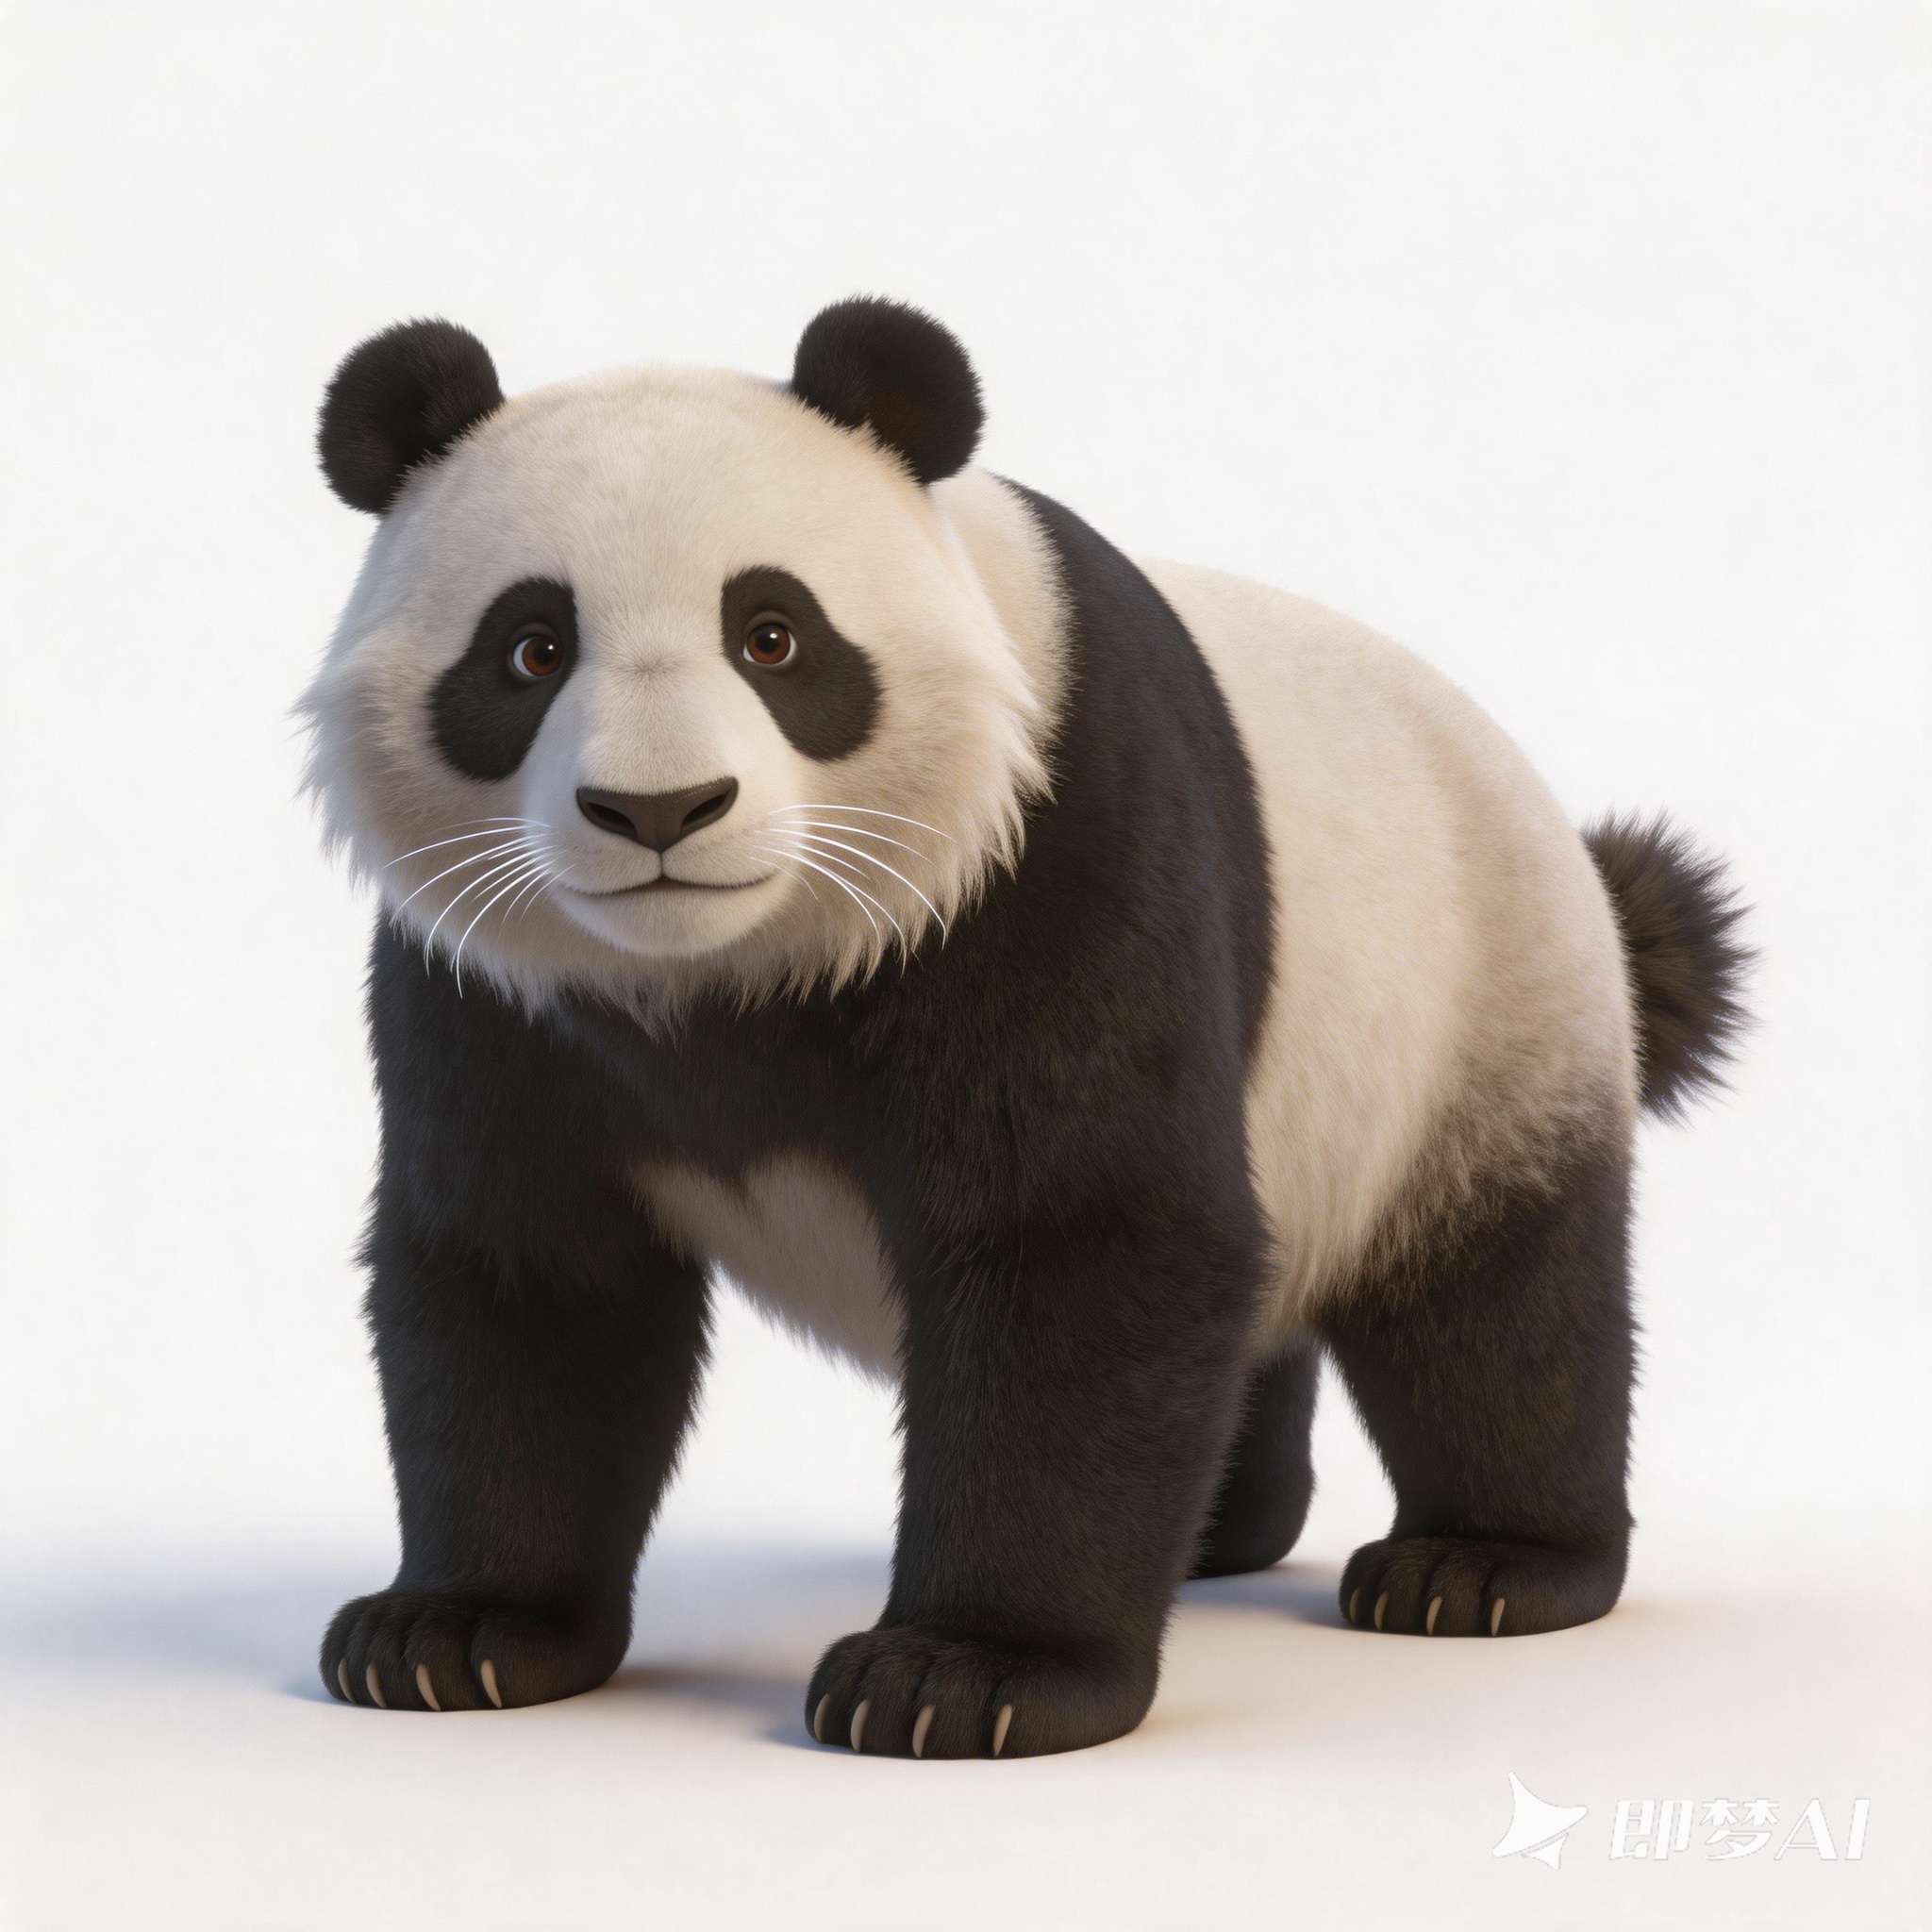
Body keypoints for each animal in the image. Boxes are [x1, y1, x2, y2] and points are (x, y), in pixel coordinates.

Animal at [302, 298, 1748, 1757]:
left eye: (773, 636)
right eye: (531, 649)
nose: (661, 810)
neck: (721, 974)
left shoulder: (1055, 856)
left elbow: (1078, 1247)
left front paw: (967, 1673)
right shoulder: (493, 990)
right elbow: (529, 1285)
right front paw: (460, 1631)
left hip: (1481, 1003)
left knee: (1496, 1305)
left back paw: (1482, 1565)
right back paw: (1222, 1528)